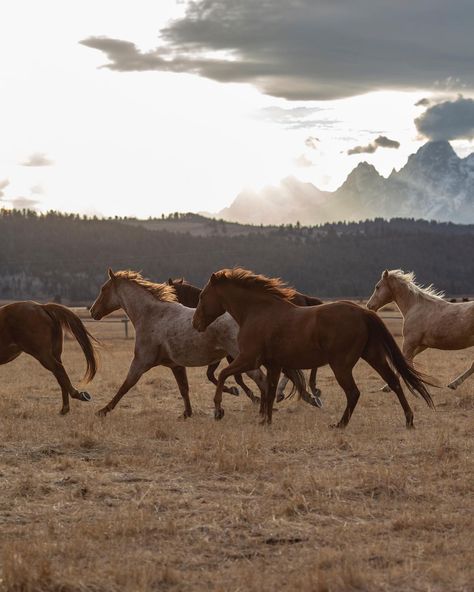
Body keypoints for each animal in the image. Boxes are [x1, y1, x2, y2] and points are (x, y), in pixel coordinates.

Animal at [88, 270, 270, 418]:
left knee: (261, 379)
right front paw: (187, 413)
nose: (92, 311)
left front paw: (103, 410)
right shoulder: (175, 365)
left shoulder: (141, 361)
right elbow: (184, 388)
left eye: (103, 289)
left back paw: (260, 411)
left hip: (243, 358)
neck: (152, 315)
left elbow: (125, 386)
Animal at [168, 278, 324, 408]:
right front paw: (237, 391)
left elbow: (227, 376)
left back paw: (307, 392)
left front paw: (249, 395)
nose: (194, 322)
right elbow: (216, 375)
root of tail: (304, 298)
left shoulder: (232, 354)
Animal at [192, 270, 434, 430]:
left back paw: (340, 424)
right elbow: (270, 391)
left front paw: (218, 410)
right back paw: (409, 420)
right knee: (394, 381)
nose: (195, 324)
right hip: (373, 355)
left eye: (202, 296)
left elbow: (223, 375)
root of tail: (363, 312)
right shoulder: (273, 365)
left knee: (354, 392)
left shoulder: (249, 359)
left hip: (341, 365)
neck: (257, 312)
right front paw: (266, 420)